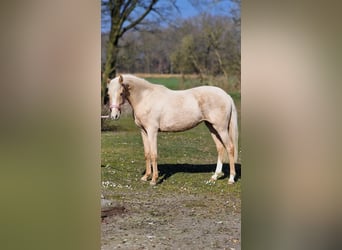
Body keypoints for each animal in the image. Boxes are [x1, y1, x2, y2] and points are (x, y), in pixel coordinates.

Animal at [107, 74, 238, 186]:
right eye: (108, 94)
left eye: (121, 93)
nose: (114, 116)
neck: (145, 97)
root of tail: (226, 96)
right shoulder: (143, 132)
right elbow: (147, 154)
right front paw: (146, 177)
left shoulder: (152, 131)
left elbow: (154, 154)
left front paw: (154, 180)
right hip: (212, 127)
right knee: (220, 148)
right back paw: (215, 176)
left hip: (221, 128)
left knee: (230, 148)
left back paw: (231, 179)